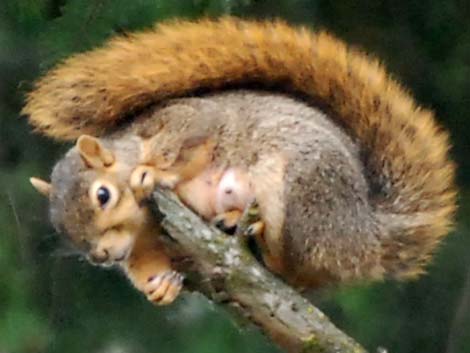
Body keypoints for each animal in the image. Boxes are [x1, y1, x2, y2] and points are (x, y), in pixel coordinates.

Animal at [24, 18, 456, 306]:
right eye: (60, 226)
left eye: (103, 195)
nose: (99, 257)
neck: (144, 222)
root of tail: (366, 233)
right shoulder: (144, 242)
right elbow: (147, 264)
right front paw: (159, 285)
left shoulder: (188, 123)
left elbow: (188, 145)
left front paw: (154, 170)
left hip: (302, 186)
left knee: (297, 270)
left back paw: (261, 236)